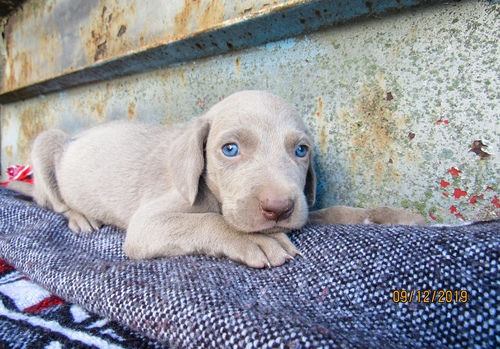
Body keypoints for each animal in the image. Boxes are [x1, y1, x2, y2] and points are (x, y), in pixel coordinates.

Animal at [5, 89, 424, 266]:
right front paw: (252, 240)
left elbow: (330, 213)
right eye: (230, 149)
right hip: (47, 142)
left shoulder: (301, 209)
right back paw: (79, 216)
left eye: (301, 151)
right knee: (53, 200)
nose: (278, 208)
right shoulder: (148, 224)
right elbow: (207, 222)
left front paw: (389, 217)